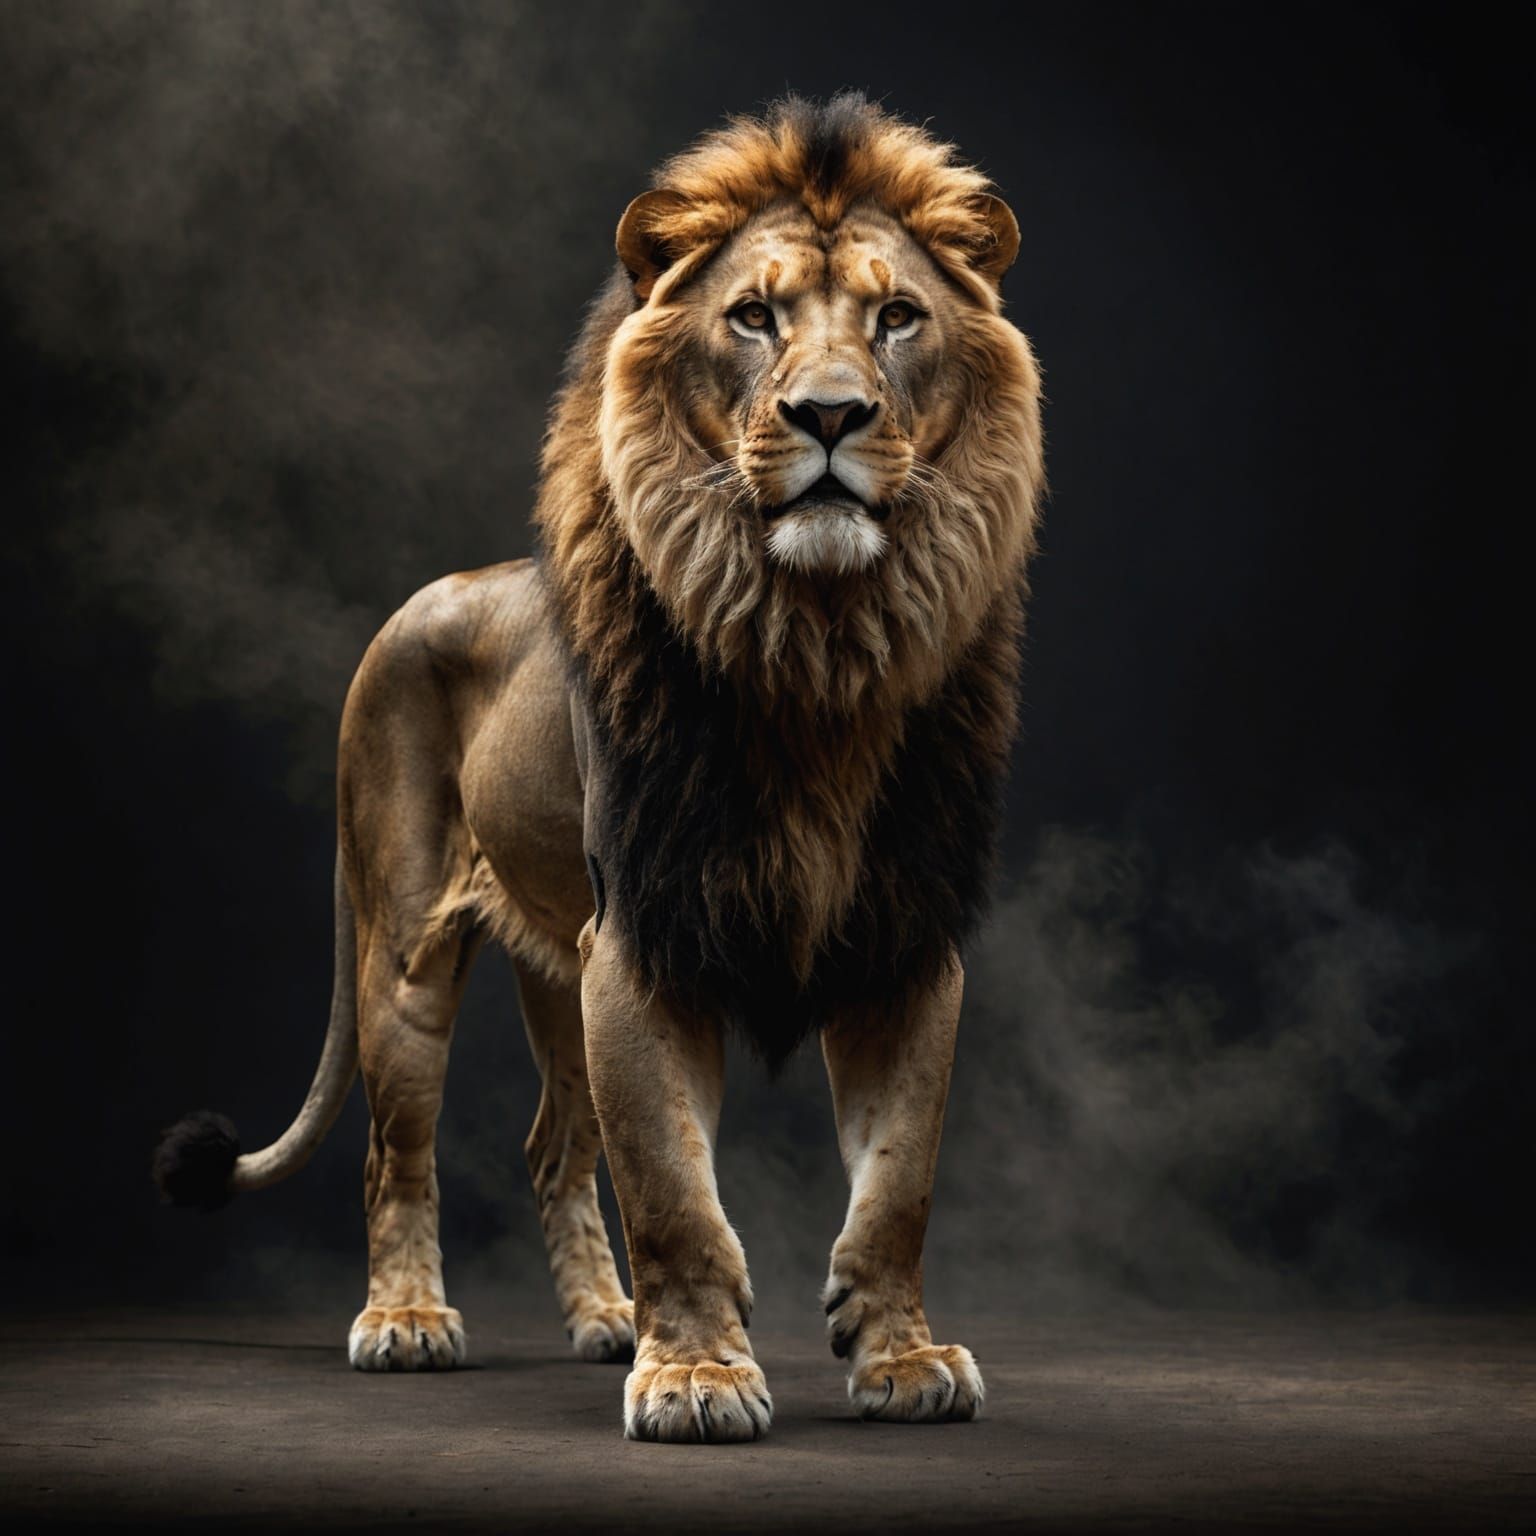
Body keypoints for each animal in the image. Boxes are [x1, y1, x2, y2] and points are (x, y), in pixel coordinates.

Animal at [154, 92, 1044, 1443]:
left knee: (550, 1146)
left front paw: (898, 1359)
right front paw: (696, 1379)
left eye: (898, 317)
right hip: (406, 951)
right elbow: (672, 1185)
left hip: (554, 971)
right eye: (753, 316)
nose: (831, 416)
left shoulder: (903, 936)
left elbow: (900, 1181)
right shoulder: (643, 938)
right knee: (394, 1150)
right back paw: (406, 1322)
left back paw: (603, 1317)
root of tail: (409, 606)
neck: (817, 645)